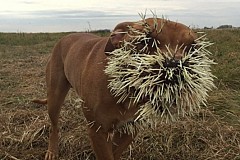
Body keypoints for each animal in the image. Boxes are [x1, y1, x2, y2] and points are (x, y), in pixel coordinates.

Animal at [33, 18, 195, 159]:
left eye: (192, 48)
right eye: (146, 41)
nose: (175, 65)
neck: (127, 90)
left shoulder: (130, 129)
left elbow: (114, 152)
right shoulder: (97, 131)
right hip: (55, 97)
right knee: (54, 126)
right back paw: (52, 151)